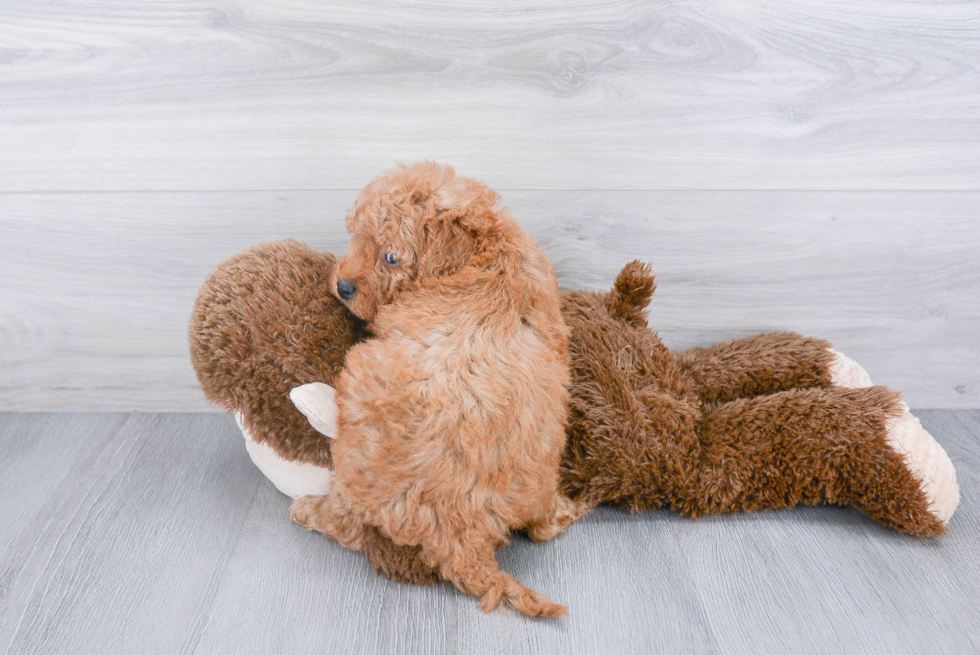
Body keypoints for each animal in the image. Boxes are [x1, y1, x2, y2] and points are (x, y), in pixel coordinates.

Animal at [290, 161, 580, 616]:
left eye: (391, 257)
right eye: (357, 236)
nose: (343, 287)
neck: (484, 248)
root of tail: (463, 544)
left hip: (359, 437)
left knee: (348, 522)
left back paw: (308, 510)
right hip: (540, 473)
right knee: (542, 526)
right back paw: (562, 512)